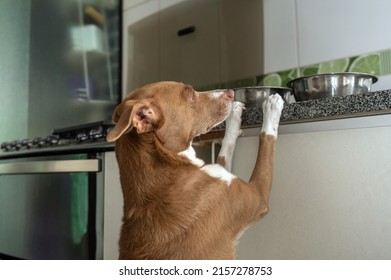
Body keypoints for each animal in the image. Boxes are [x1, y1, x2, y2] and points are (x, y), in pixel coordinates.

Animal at [107, 80, 284, 258]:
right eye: (191, 95)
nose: (230, 92)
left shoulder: (220, 172)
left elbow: (225, 147)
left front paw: (233, 118)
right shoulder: (258, 196)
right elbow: (266, 139)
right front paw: (272, 107)